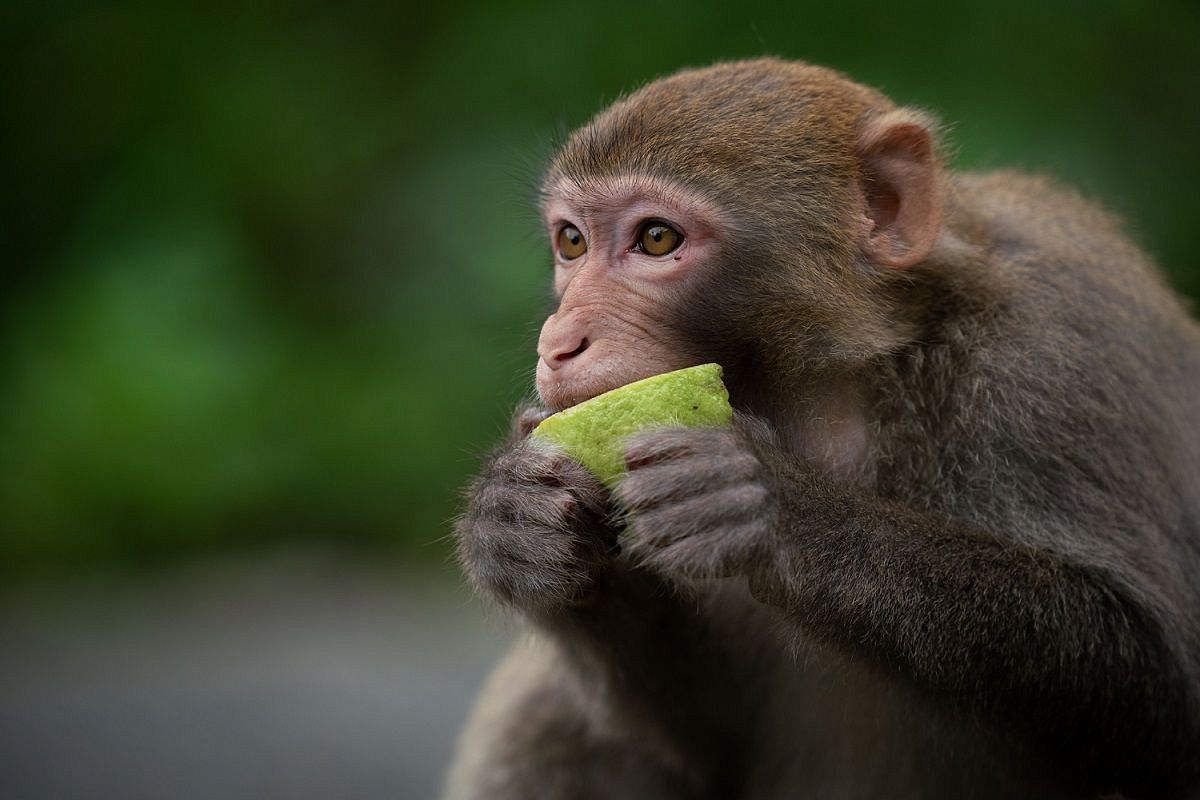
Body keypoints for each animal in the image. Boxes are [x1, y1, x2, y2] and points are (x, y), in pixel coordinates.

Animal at [441, 57, 1200, 800]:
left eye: (656, 238)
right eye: (572, 241)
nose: (559, 342)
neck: (840, 389)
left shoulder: (1061, 350)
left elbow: (1155, 686)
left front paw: (772, 506)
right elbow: (711, 735)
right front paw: (512, 518)